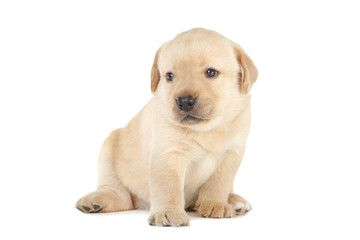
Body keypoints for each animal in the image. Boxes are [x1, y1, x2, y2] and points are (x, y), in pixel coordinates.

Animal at [76, 28, 258, 227]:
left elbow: (218, 183)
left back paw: (234, 200)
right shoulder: (168, 153)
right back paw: (95, 201)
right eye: (169, 76)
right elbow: (169, 186)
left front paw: (215, 204)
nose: (184, 101)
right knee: (119, 195)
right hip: (110, 148)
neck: (207, 129)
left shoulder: (232, 153)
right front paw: (169, 212)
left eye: (211, 72)